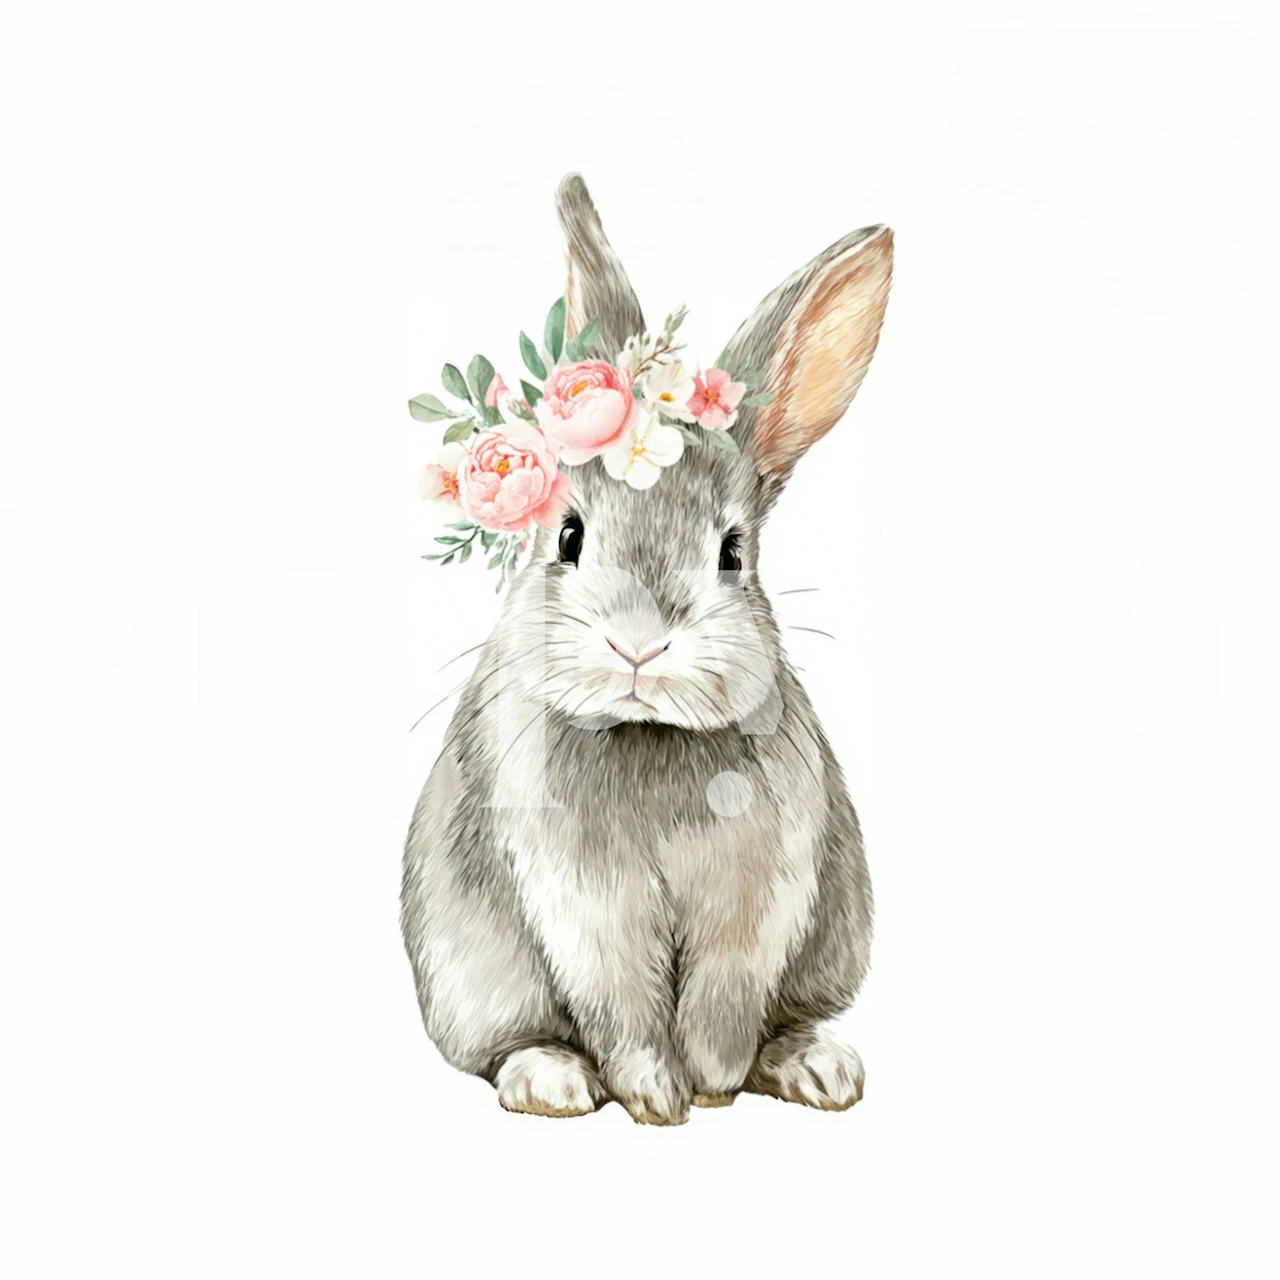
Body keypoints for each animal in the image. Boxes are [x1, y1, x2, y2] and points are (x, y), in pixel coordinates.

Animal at [402, 173, 892, 1124]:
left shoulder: (760, 900)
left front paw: (712, 1086)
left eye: (732, 552)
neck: (647, 735)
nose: (639, 646)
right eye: (568, 535)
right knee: (510, 1040)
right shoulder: (582, 906)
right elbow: (621, 1003)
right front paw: (657, 1101)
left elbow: (723, 1003)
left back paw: (820, 1067)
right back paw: (549, 1080)